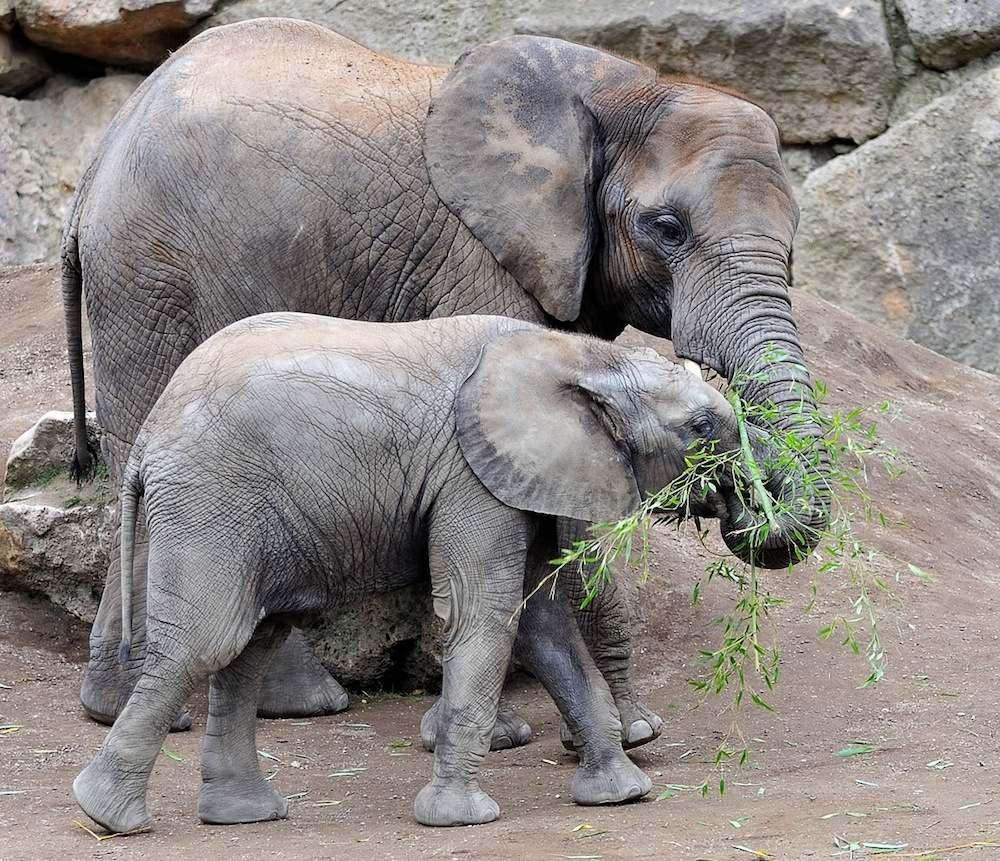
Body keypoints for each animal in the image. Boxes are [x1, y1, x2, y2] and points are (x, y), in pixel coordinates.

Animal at [63, 18, 829, 743]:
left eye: (794, 245)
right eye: (667, 228)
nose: (737, 501)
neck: (623, 86)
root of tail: (95, 163)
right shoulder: (480, 254)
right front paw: (557, 734)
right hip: (150, 277)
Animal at [72, 312, 742, 833]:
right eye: (701, 429)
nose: (738, 503)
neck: (585, 355)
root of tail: (148, 434)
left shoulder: (511, 479)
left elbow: (540, 627)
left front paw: (622, 795)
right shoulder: (471, 476)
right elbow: (484, 615)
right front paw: (462, 818)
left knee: (251, 646)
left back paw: (242, 815)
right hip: (210, 500)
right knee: (208, 642)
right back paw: (107, 816)